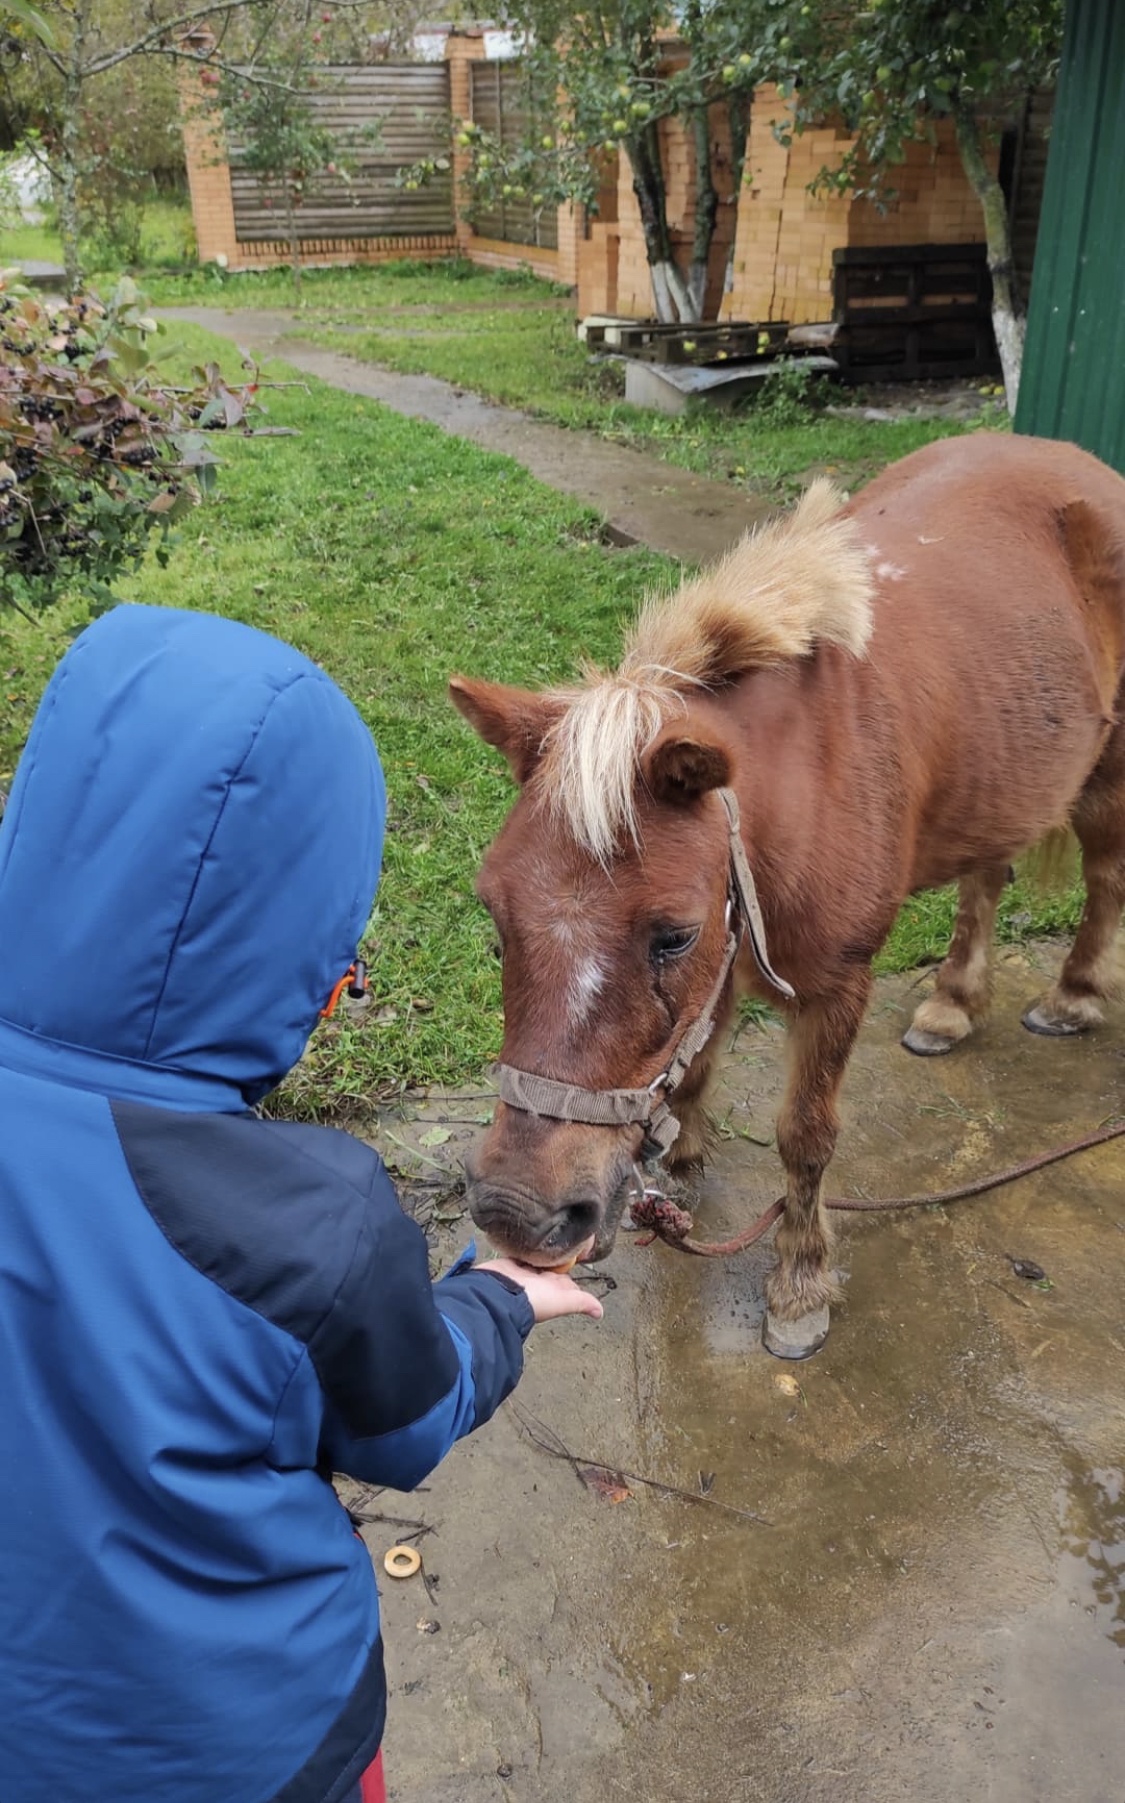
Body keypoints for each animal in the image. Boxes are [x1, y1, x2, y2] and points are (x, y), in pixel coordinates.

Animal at [452, 436, 1125, 1355]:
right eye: (495, 919)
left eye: (672, 935)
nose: (517, 1211)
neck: (808, 778)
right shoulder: (729, 957)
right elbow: (693, 1069)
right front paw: (682, 1175)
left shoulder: (832, 985)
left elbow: (805, 1137)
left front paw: (800, 1283)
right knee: (985, 875)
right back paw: (950, 1004)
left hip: (1105, 772)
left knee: (1103, 878)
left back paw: (1072, 997)